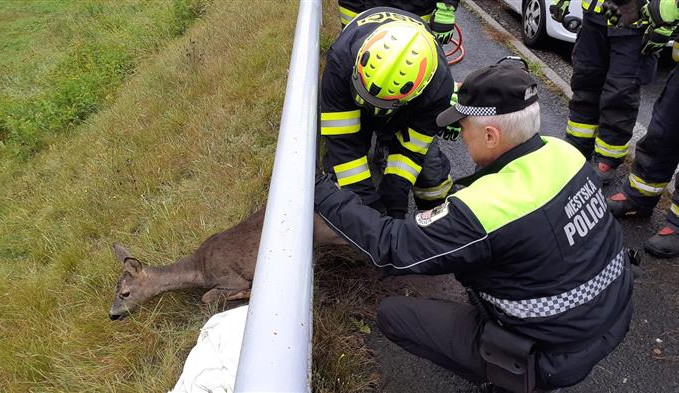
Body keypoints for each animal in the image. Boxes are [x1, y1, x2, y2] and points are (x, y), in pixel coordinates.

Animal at [111, 207, 346, 320]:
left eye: (125, 293)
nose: (112, 315)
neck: (200, 269)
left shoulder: (230, 278)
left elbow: (207, 297)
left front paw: (246, 294)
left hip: (328, 232)